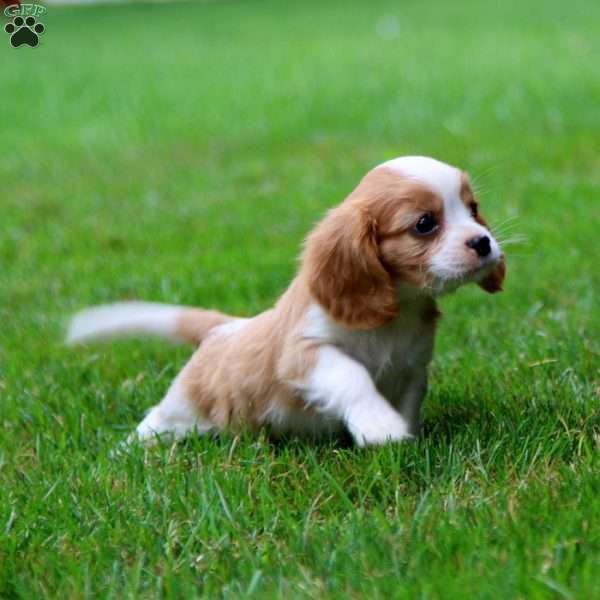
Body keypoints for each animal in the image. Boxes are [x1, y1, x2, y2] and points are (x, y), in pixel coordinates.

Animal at [68, 155, 504, 446]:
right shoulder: (305, 352)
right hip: (186, 402)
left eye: (473, 209)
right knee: (155, 421)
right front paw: (380, 426)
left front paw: (403, 434)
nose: (483, 242)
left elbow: (410, 403)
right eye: (425, 224)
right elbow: (353, 375)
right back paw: (131, 453)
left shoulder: (413, 368)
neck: (396, 313)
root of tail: (227, 327)